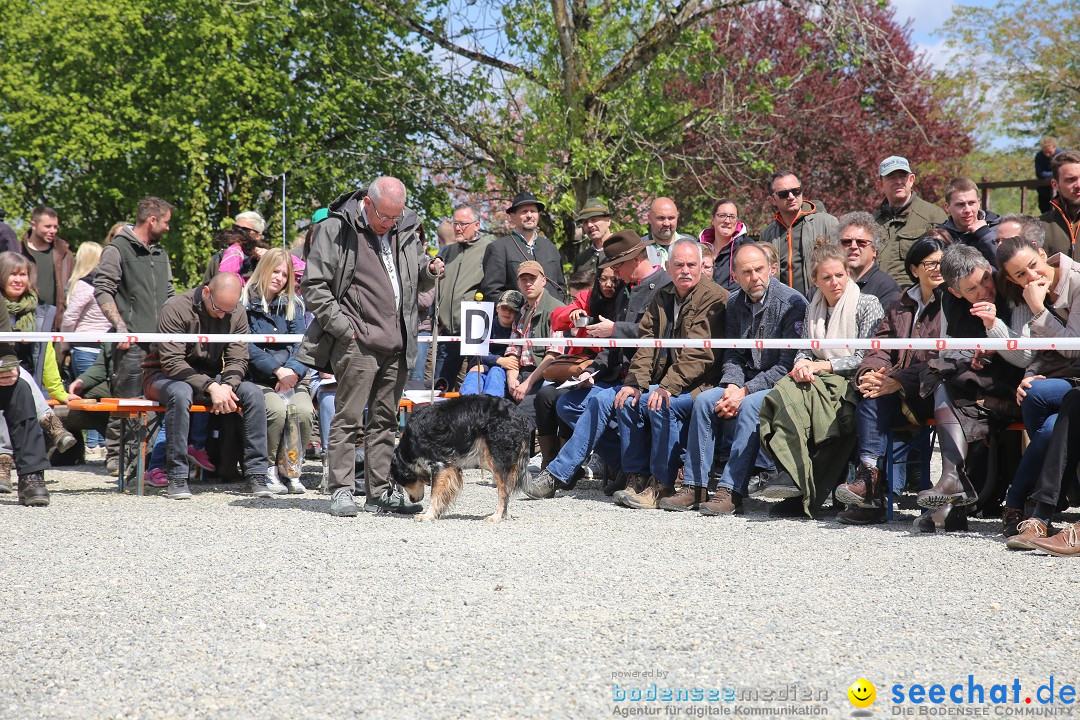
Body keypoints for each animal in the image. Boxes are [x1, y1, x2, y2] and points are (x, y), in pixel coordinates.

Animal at [393, 395, 535, 524]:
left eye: (404, 482)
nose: (413, 500)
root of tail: (519, 414)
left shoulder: (440, 465)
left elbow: (434, 493)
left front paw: (428, 515)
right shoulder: (451, 467)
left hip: (497, 459)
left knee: (504, 491)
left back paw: (497, 516)